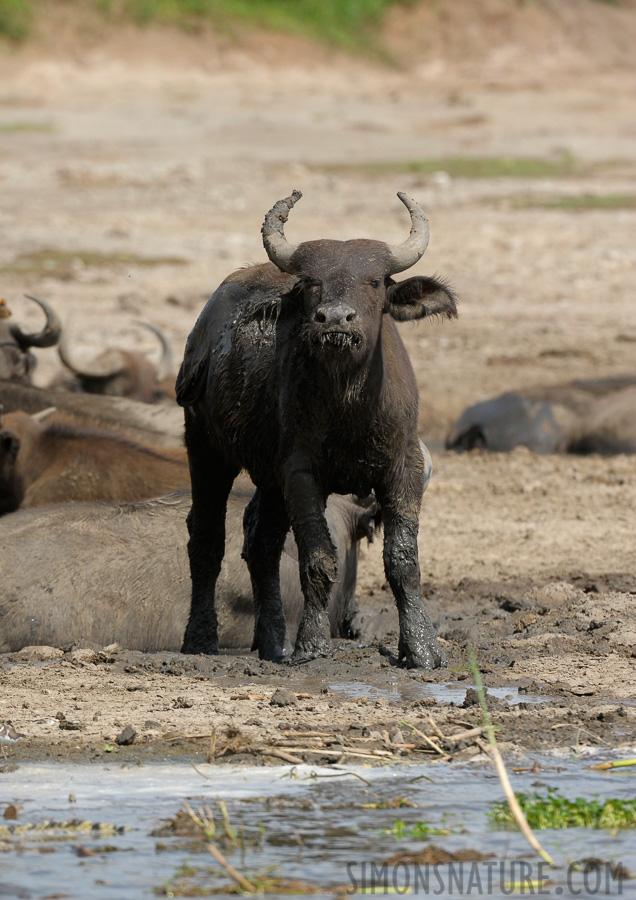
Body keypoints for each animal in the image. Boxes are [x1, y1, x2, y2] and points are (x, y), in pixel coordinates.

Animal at [178, 190, 458, 668]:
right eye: (310, 282)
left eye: (375, 281)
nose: (336, 319)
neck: (349, 407)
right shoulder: (301, 473)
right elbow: (318, 558)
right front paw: (311, 643)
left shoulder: (403, 466)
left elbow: (403, 560)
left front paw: (422, 649)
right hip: (206, 445)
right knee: (207, 537)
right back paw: (200, 639)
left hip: (268, 475)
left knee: (260, 541)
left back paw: (271, 640)